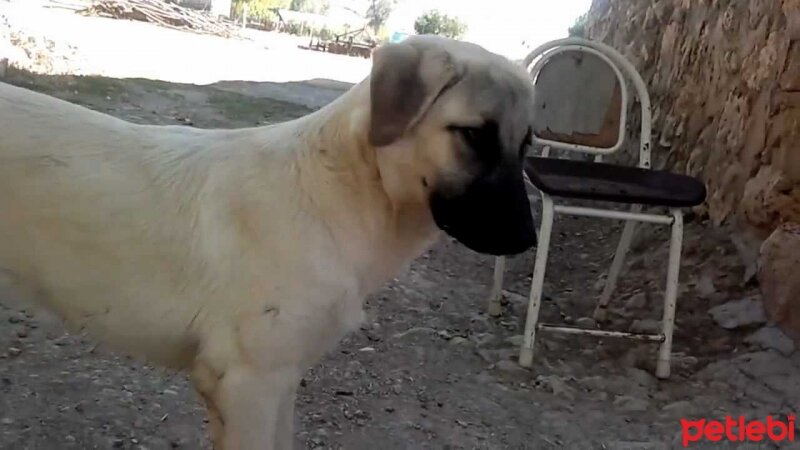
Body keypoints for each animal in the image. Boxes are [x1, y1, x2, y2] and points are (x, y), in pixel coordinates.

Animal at [1, 36, 536, 450]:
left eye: (527, 143)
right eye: (473, 135)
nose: (528, 240)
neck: (340, 193)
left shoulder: (277, 382)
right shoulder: (249, 383)